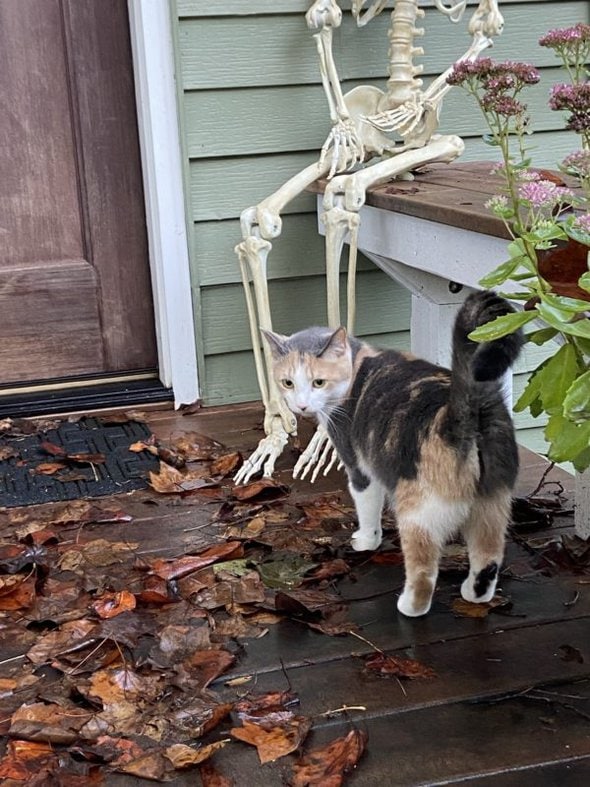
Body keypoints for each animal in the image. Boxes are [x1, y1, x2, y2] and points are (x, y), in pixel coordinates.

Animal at [266, 292, 524, 620]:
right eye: (287, 382)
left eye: (318, 382)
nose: (301, 406)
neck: (356, 363)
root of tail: (462, 411)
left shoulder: (359, 467)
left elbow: (367, 508)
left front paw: (366, 541)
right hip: (493, 501)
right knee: (488, 559)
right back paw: (474, 594)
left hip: (418, 512)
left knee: (424, 571)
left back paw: (409, 607)